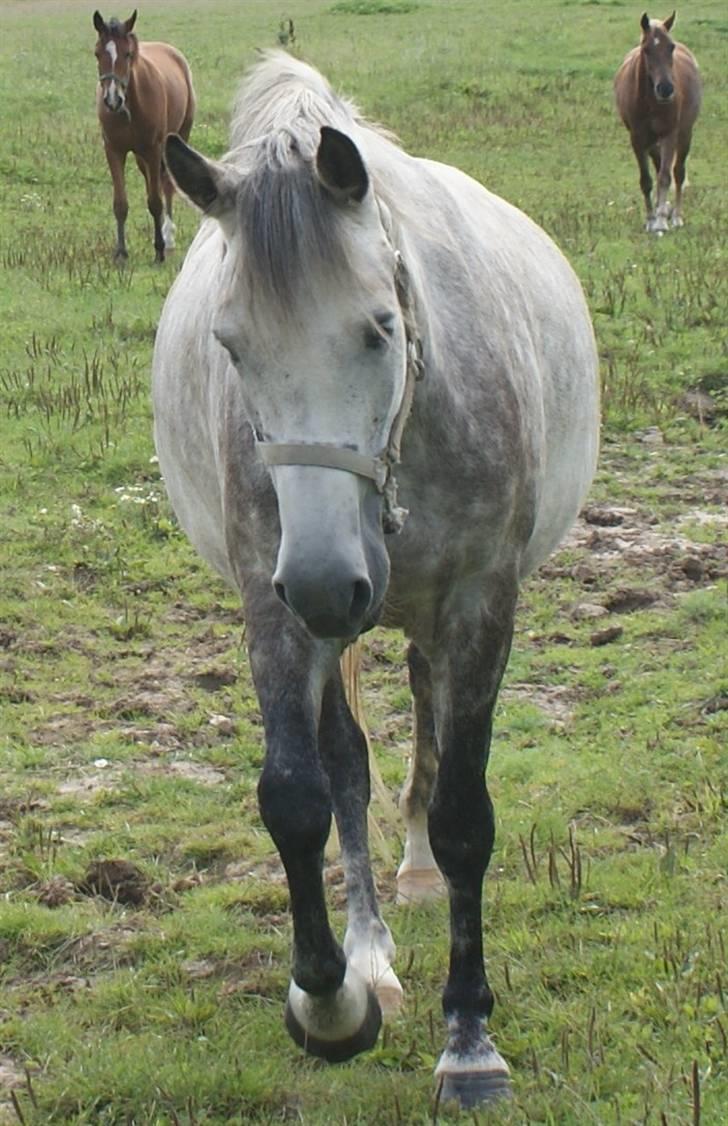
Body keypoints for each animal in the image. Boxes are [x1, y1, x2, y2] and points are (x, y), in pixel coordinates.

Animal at [93, 9, 196, 260]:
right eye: (97, 53)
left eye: (128, 53)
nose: (112, 100)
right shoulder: (114, 150)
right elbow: (120, 203)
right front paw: (121, 252)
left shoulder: (153, 149)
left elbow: (155, 201)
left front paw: (159, 249)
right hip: (141, 157)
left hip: (176, 138)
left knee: (166, 185)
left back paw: (168, 238)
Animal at [150, 52, 603, 1107]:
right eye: (231, 346)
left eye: (379, 328)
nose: (326, 581)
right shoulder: (276, 610)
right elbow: (299, 795)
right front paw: (329, 1000)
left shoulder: (480, 602)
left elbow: (467, 815)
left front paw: (469, 1036)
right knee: (352, 767)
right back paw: (372, 951)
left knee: (430, 718)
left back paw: (421, 878)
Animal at [616, 9, 702, 234]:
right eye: (646, 49)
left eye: (670, 47)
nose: (665, 89)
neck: (649, 101)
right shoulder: (637, 139)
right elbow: (646, 180)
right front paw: (650, 219)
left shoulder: (669, 135)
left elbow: (665, 177)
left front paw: (662, 221)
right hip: (653, 143)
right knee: (658, 168)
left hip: (684, 135)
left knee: (678, 172)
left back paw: (676, 216)